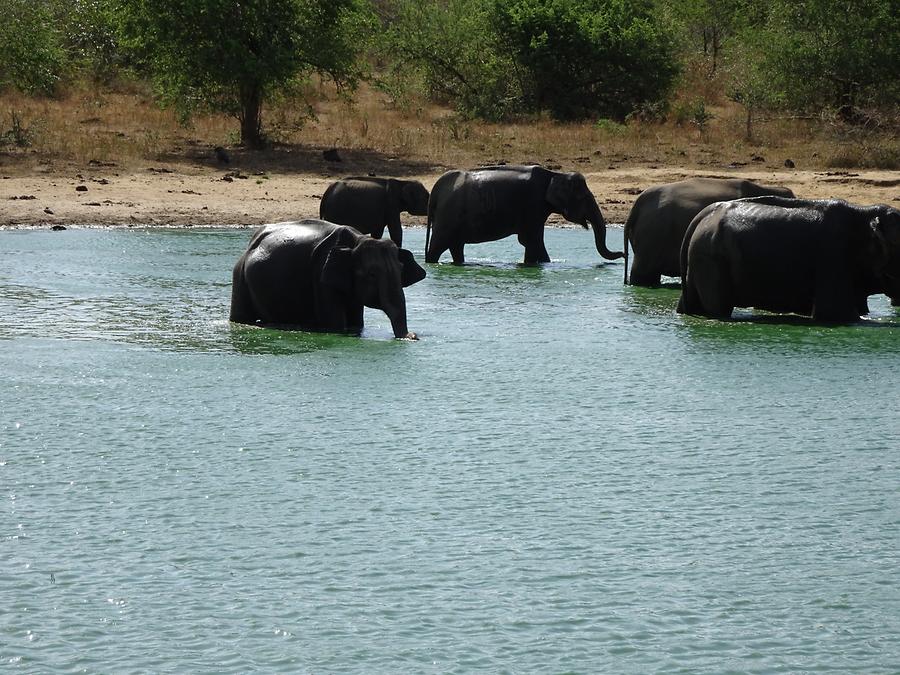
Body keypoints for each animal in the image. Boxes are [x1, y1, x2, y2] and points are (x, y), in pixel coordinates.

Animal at [232, 219, 428, 340]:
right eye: (372, 274)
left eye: (401, 270)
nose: (414, 336)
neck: (357, 241)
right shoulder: (320, 277)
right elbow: (335, 323)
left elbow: (357, 321)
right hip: (239, 276)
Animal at [424, 165, 624, 266]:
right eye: (583, 198)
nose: (622, 254)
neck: (555, 174)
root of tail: (435, 191)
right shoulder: (532, 206)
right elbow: (532, 241)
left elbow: (532, 242)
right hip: (447, 217)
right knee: (437, 247)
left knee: (456, 247)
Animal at [680, 197, 900, 324]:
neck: (864, 212)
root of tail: (702, 216)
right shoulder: (833, 257)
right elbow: (839, 315)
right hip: (712, 259)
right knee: (718, 308)